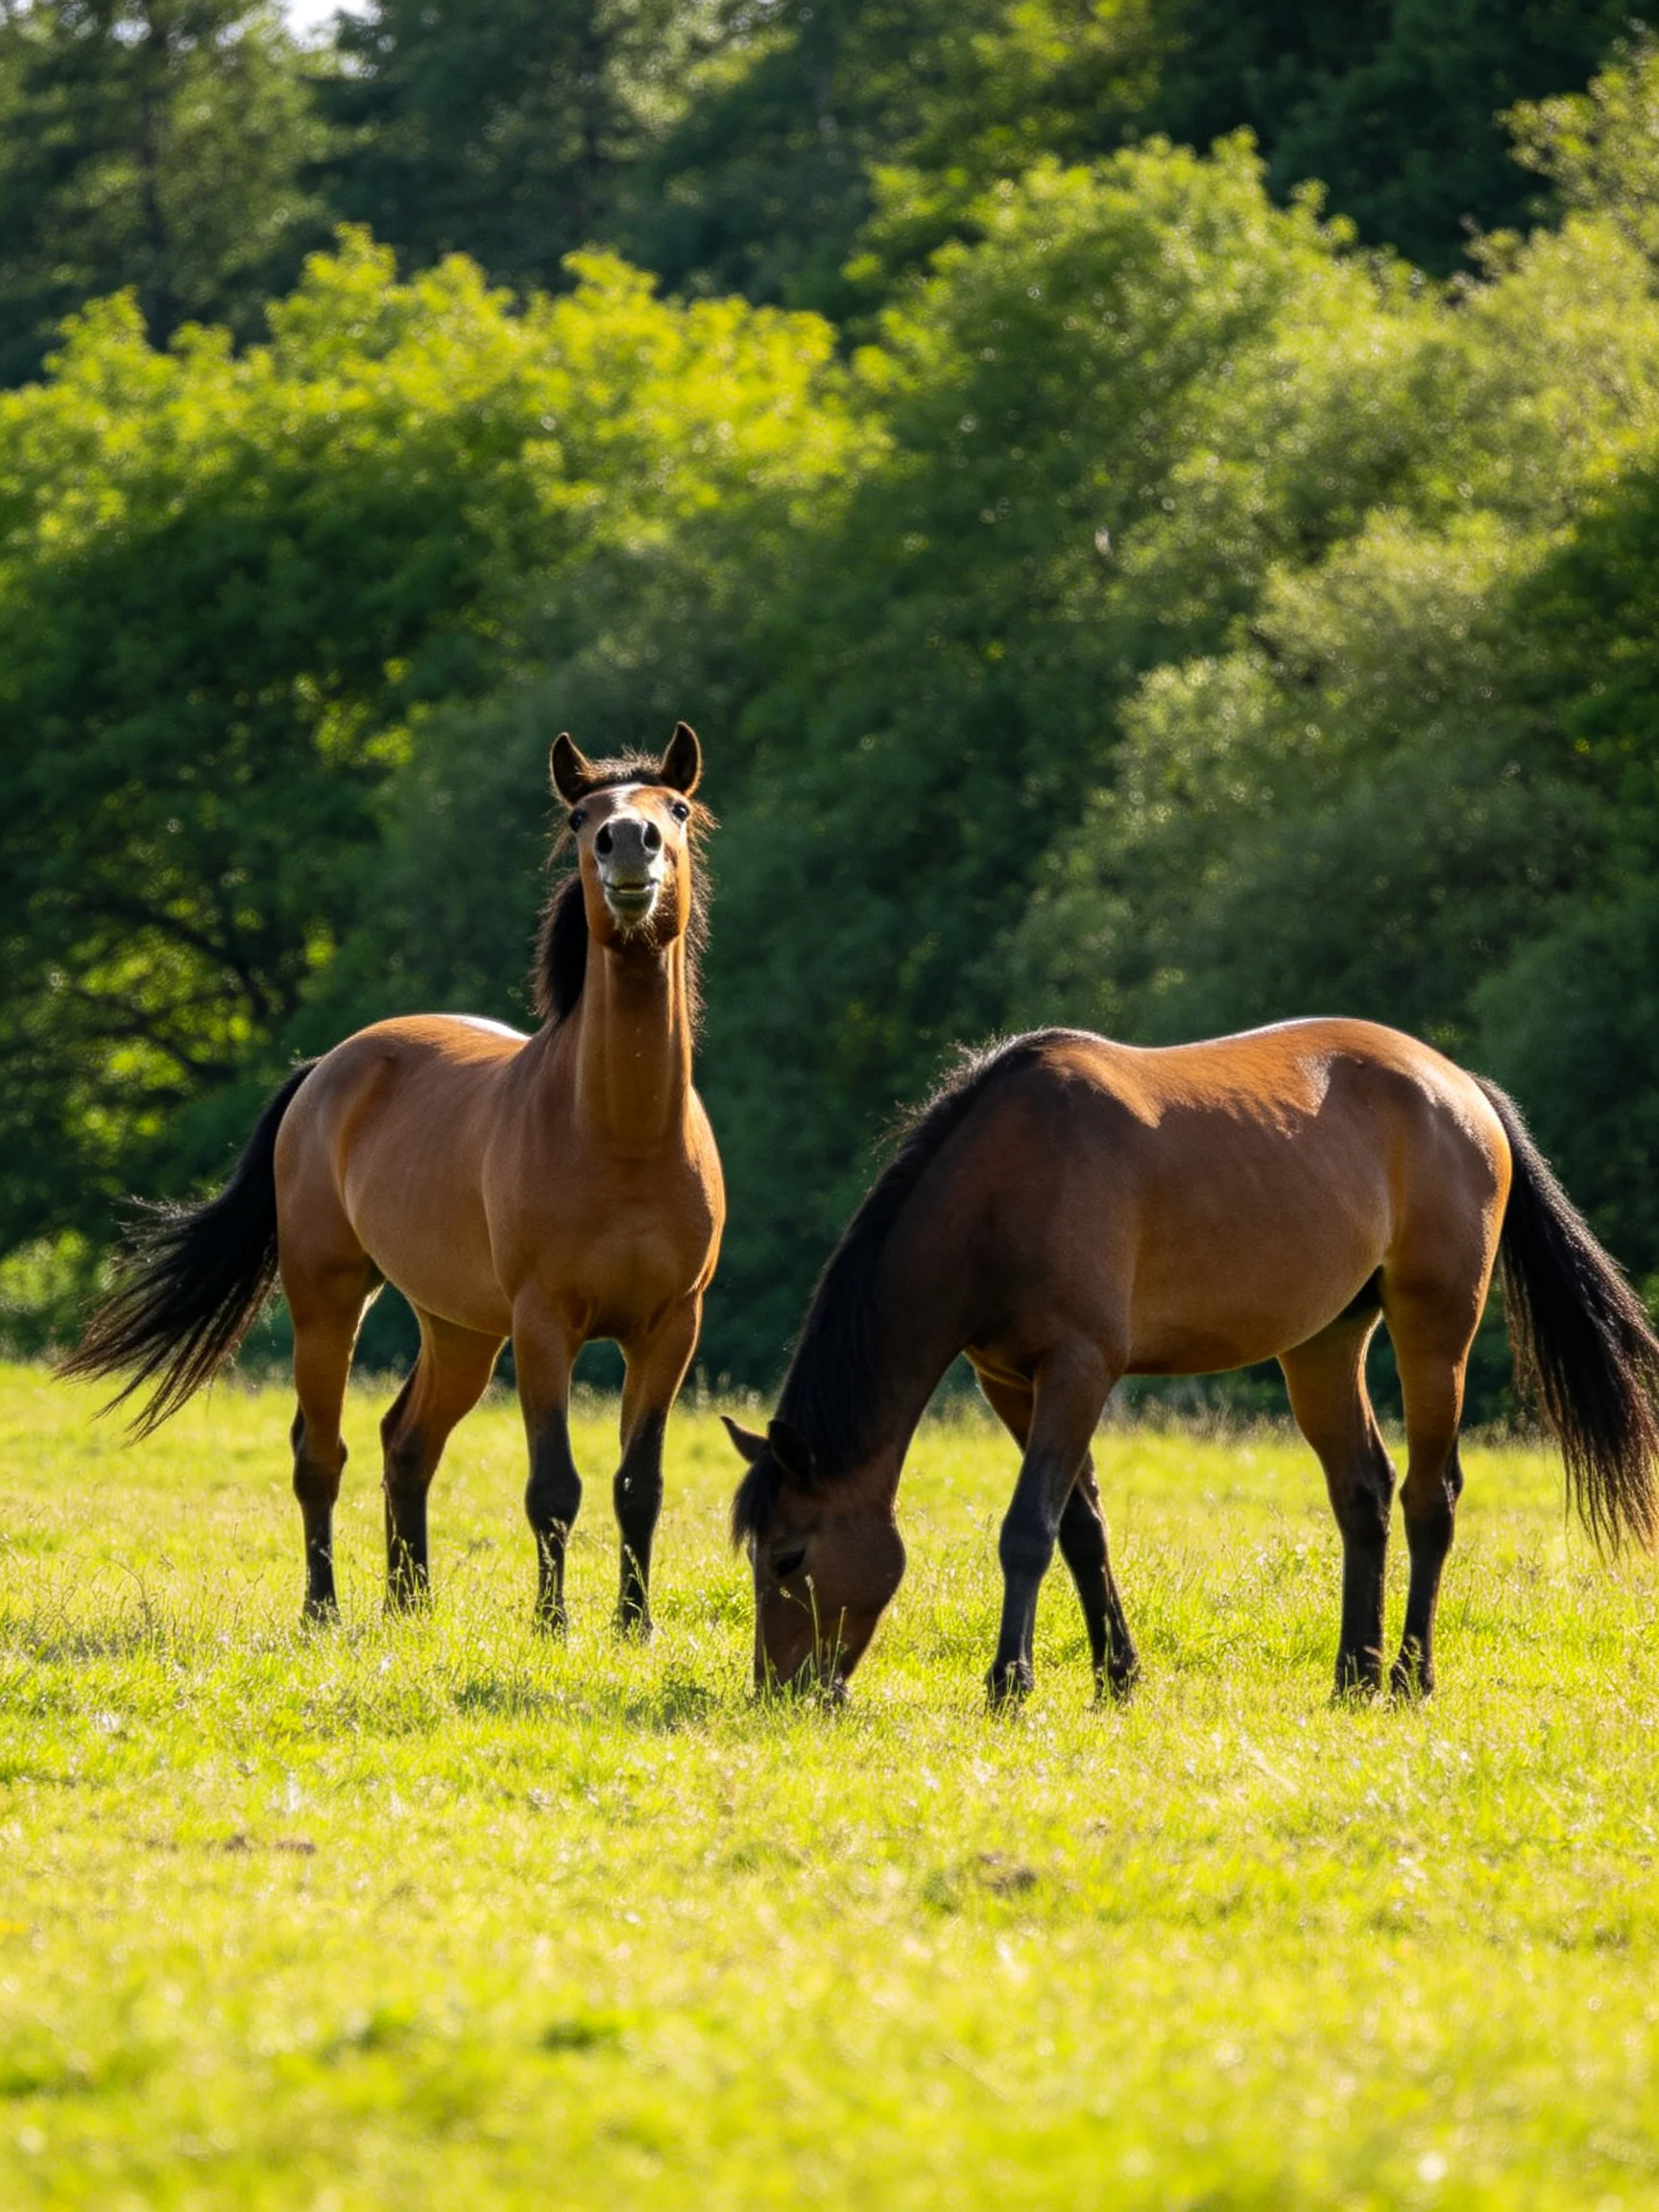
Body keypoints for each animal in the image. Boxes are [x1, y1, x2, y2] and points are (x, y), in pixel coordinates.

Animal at [63, 723, 724, 1636]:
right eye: (582, 815)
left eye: (678, 810)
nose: (629, 846)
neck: (621, 1140)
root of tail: (325, 1069)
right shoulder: (544, 1327)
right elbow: (554, 1487)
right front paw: (552, 1626)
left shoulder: (670, 1330)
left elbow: (640, 1484)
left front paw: (634, 1625)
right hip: (330, 1299)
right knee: (321, 1451)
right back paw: (325, 1611)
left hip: (460, 1330)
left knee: (406, 1441)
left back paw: (411, 1604)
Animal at [724, 1020, 1659, 1705]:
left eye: (789, 1559)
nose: (781, 1693)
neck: (1004, 1187)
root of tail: (1464, 1088)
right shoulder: (1010, 1381)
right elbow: (1081, 1529)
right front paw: (1118, 1677)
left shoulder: (1079, 1368)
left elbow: (1028, 1529)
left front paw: (1009, 1684)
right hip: (1324, 1342)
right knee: (1363, 1491)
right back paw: (1351, 1677)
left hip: (1436, 1327)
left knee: (1433, 1497)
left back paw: (1407, 1676)